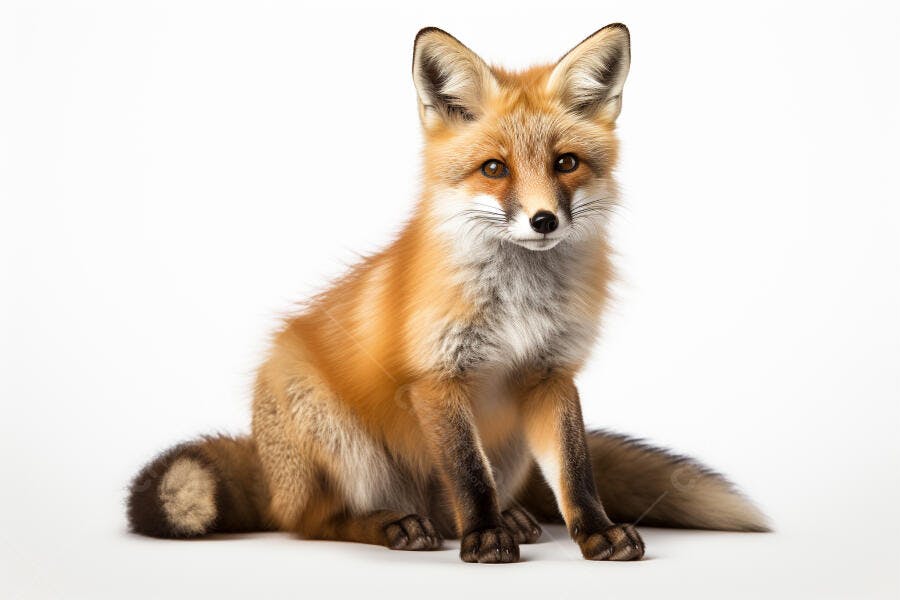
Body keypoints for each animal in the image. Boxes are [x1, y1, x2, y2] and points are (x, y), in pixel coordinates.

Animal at [127, 24, 769, 563]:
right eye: (494, 169)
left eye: (566, 163)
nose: (543, 221)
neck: (518, 305)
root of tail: (266, 463)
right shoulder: (437, 378)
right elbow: (467, 475)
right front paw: (483, 537)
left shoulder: (551, 375)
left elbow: (576, 471)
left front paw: (594, 532)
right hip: (334, 434)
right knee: (315, 521)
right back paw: (397, 525)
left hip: (510, 440)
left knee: (455, 502)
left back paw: (510, 519)